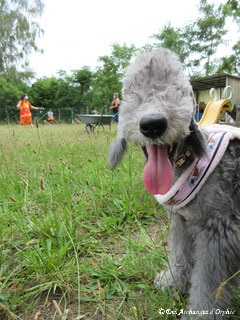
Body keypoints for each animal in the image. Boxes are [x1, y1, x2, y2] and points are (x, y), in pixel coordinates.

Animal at [109, 48, 240, 320]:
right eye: (131, 90)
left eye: (178, 89)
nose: (153, 124)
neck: (189, 160)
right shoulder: (182, 219)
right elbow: (180, 254)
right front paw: (173, 282)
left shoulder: (219, 231)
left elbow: (210, 284)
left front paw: (200, 313)